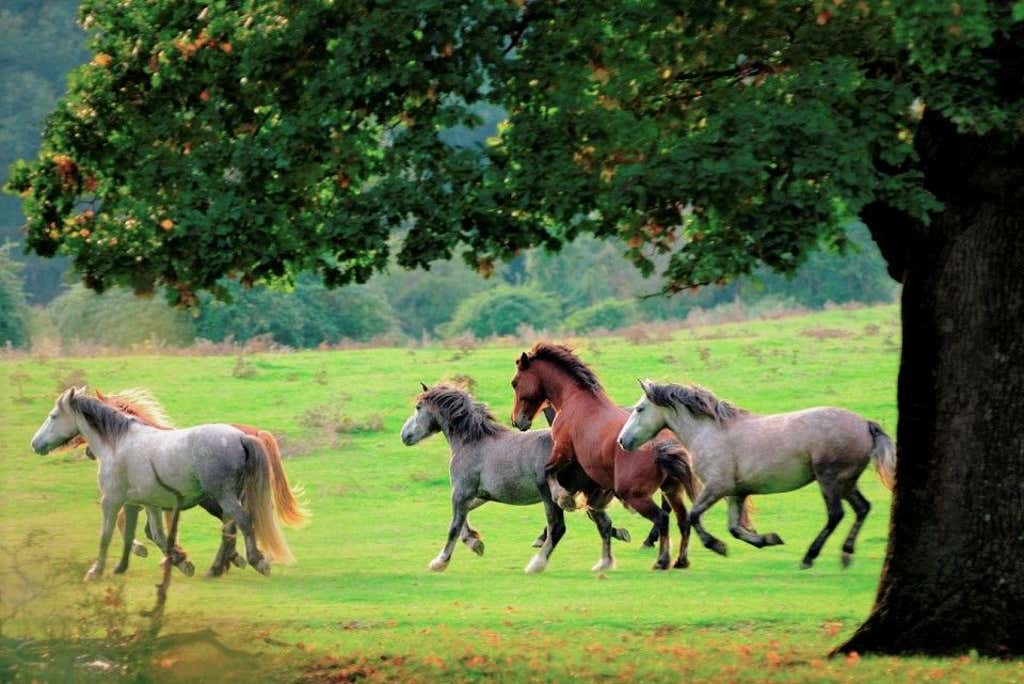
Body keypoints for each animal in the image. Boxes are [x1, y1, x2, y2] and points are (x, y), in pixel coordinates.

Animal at [30, 386, 305, 581]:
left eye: (53, 416)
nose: (35, 444)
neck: (117, 444)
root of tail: (241, 435)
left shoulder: (112, 500)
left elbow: (107, 535)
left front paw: (95, 572)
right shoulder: (148, 503)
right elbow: (157, 535)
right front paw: (181, 561)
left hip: (223, 496)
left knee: (243, 521)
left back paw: (256, 561)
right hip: (226, 497)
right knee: (230, 527)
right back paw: (218, 567)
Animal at [401, 384, 633, 573]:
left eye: (418, 408)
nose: (404, 436)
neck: (472, 442)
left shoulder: (461, 491)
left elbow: (454, 526)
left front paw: (439, 562)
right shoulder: (479, 495)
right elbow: (464, 519)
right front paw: (475, 543)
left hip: (551, 496)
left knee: (557, 528)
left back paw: (536, 564)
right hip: (584, 493)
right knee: (603, 523)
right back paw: (604, 563)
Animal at [510, 344, 700, 570]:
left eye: (514, 383)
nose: (516, 421)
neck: (574, 399)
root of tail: (664, 446)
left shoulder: (563, 453)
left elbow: (549, 474)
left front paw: (563, 500)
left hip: (635, 494)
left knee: (662, 518)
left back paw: (661, 559)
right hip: (671, 488)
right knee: (682, 518)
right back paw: (680, 560)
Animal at [617, 379, 896, 568]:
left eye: (640, 409)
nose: (622, 441)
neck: (710, 432)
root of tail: (865, 424)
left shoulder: (716, 487)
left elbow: (695, 516)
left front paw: (717, 546)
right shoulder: (735, 493)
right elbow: (735, 528)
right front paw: (768, 539)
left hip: (829, 479)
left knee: (836, 514)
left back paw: (809, 557)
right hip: (846, 482)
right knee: (862, 508)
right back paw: (846, 554)